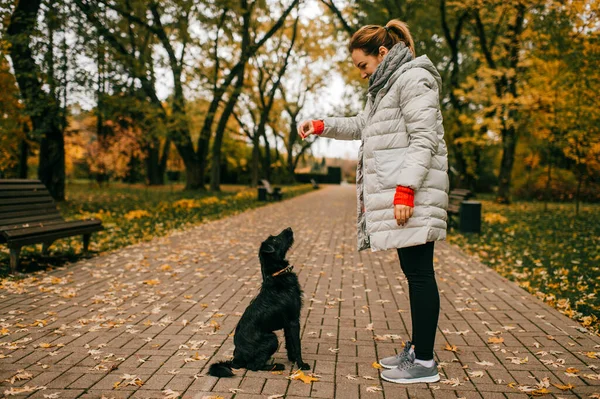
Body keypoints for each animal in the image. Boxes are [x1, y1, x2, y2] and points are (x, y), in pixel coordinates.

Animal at [209, 228, 310, 378]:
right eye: (275, 239)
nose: (289, 229)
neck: (277, 275)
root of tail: (236, 359)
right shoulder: (293, 321)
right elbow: (297, 345)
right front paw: (301, 365)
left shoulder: (287, 324)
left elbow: (290, 343)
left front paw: (292, 359)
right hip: (272, 338)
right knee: (253, 366)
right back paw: (276, 366)